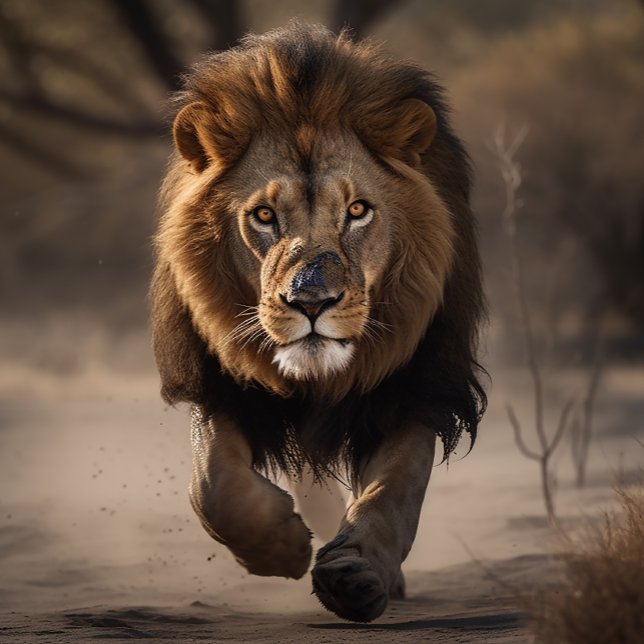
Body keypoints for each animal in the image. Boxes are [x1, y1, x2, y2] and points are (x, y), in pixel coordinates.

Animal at [151, 22, 486, 623]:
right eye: (264, 215)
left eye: (357, 211)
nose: (311, 302)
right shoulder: (218, 382)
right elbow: (213, 487)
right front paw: (281, 545)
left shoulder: (418, 386)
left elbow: (394, 489)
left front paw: (356, 574)